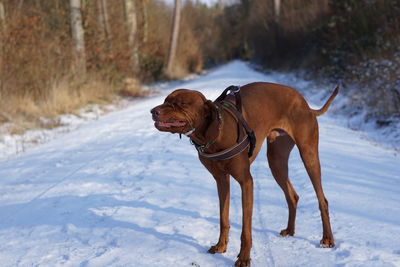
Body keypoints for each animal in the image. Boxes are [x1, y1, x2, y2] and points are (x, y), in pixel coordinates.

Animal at [150, 82, 338, 266]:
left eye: (181, 103)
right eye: (166, 100)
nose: (153, 111)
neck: (217, 130)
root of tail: (305, 103)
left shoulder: (246, 182)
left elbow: (245, 229)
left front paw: (244, 258)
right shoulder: (221, 180)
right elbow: (223, 218)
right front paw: (220, 246)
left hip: (308, 155)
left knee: (322, 199)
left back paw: (328, 239)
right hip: (276, 161)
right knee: (292, 196)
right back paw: (290, 230)